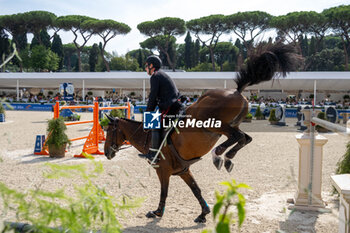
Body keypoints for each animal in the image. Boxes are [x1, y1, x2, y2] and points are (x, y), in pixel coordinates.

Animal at [104, 42, 298, 223]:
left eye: (109, 130)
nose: (106, 153)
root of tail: (236, 91)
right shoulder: (183, 170)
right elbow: (196, 189)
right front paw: (203, 213)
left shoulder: (163, 170)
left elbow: (164, 192)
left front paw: (157, 212)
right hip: (232, 124)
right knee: (245, 138)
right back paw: (228, 158)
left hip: (214, 124)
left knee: (237, 137)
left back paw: (218, 155)